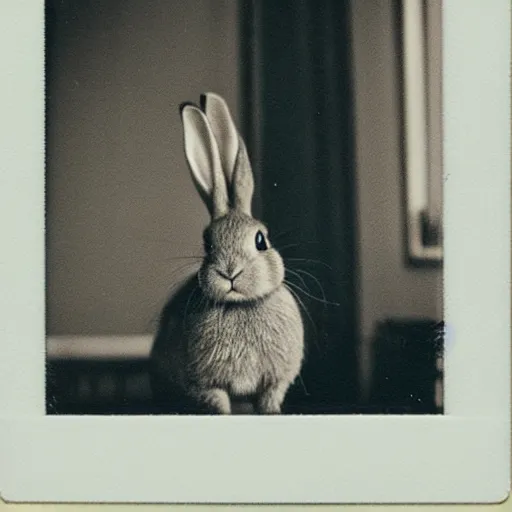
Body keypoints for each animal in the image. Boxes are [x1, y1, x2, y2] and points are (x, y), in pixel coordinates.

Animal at [151, 92, 304, 414]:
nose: (230, 272)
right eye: (207, 243)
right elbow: (218, 404)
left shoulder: (274, 382)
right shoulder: (206, 386)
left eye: (261, 240)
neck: (240, 305)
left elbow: (269, 401)